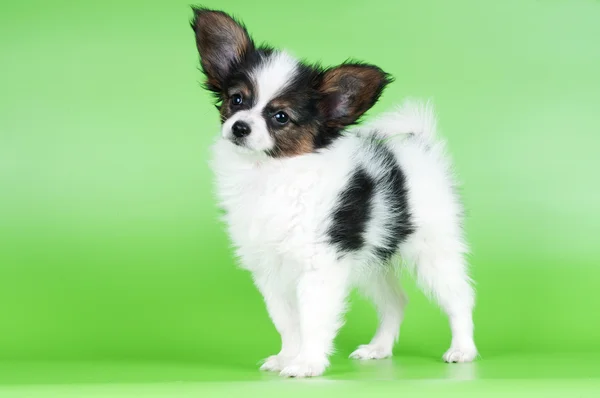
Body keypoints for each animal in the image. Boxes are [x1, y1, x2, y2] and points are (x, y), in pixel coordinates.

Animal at [191, 7, 478, 378]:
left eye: (281, 117)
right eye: (236, 99)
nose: (239, 127)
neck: (270, 173)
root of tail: (420, 147)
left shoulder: (320, 266)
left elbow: (312, 319)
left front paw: (307, 363)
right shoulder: (271, 269)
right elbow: (287, 321)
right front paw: (287, 356)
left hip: (433, 251)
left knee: (459, 298)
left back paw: (462, 349)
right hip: (371, 262)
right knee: (396, 302)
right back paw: (378, 349)